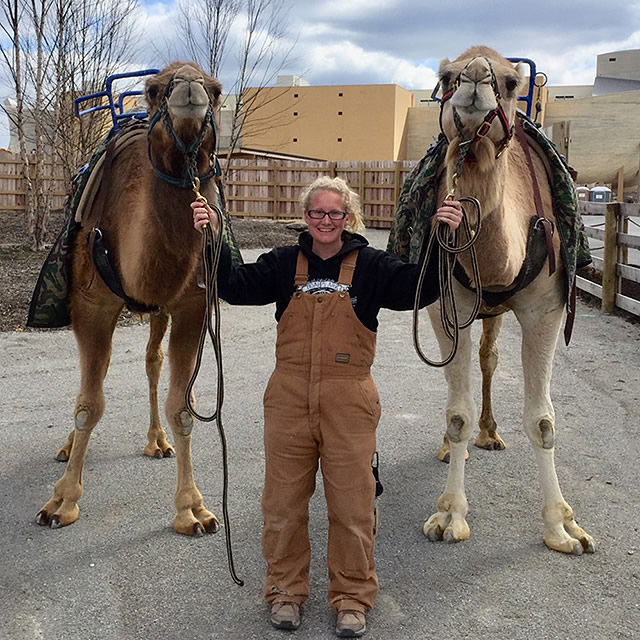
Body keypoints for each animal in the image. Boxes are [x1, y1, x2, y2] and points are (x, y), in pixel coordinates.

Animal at [35, 63, 225, 536]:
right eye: (154, 90)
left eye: (217, 91)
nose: (189, 88)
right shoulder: (92, 305)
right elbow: (89, 403)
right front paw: (62, 502)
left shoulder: (191, 305)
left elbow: (184, 408)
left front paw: (193, 510)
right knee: (94, 380)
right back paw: (69, 448)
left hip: (158, 310)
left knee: (152, 360)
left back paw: (158, 442)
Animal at [420, 46, 596, 556]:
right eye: (446, 76)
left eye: (512, 83)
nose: (476, 77)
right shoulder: (447, 308)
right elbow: (456, 411)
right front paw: (450, 515)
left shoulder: (546, 311)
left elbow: (543, 421)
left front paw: (563, 527)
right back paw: (450, 447)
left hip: (498, 312)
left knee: (489, 358)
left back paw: (492, 433)